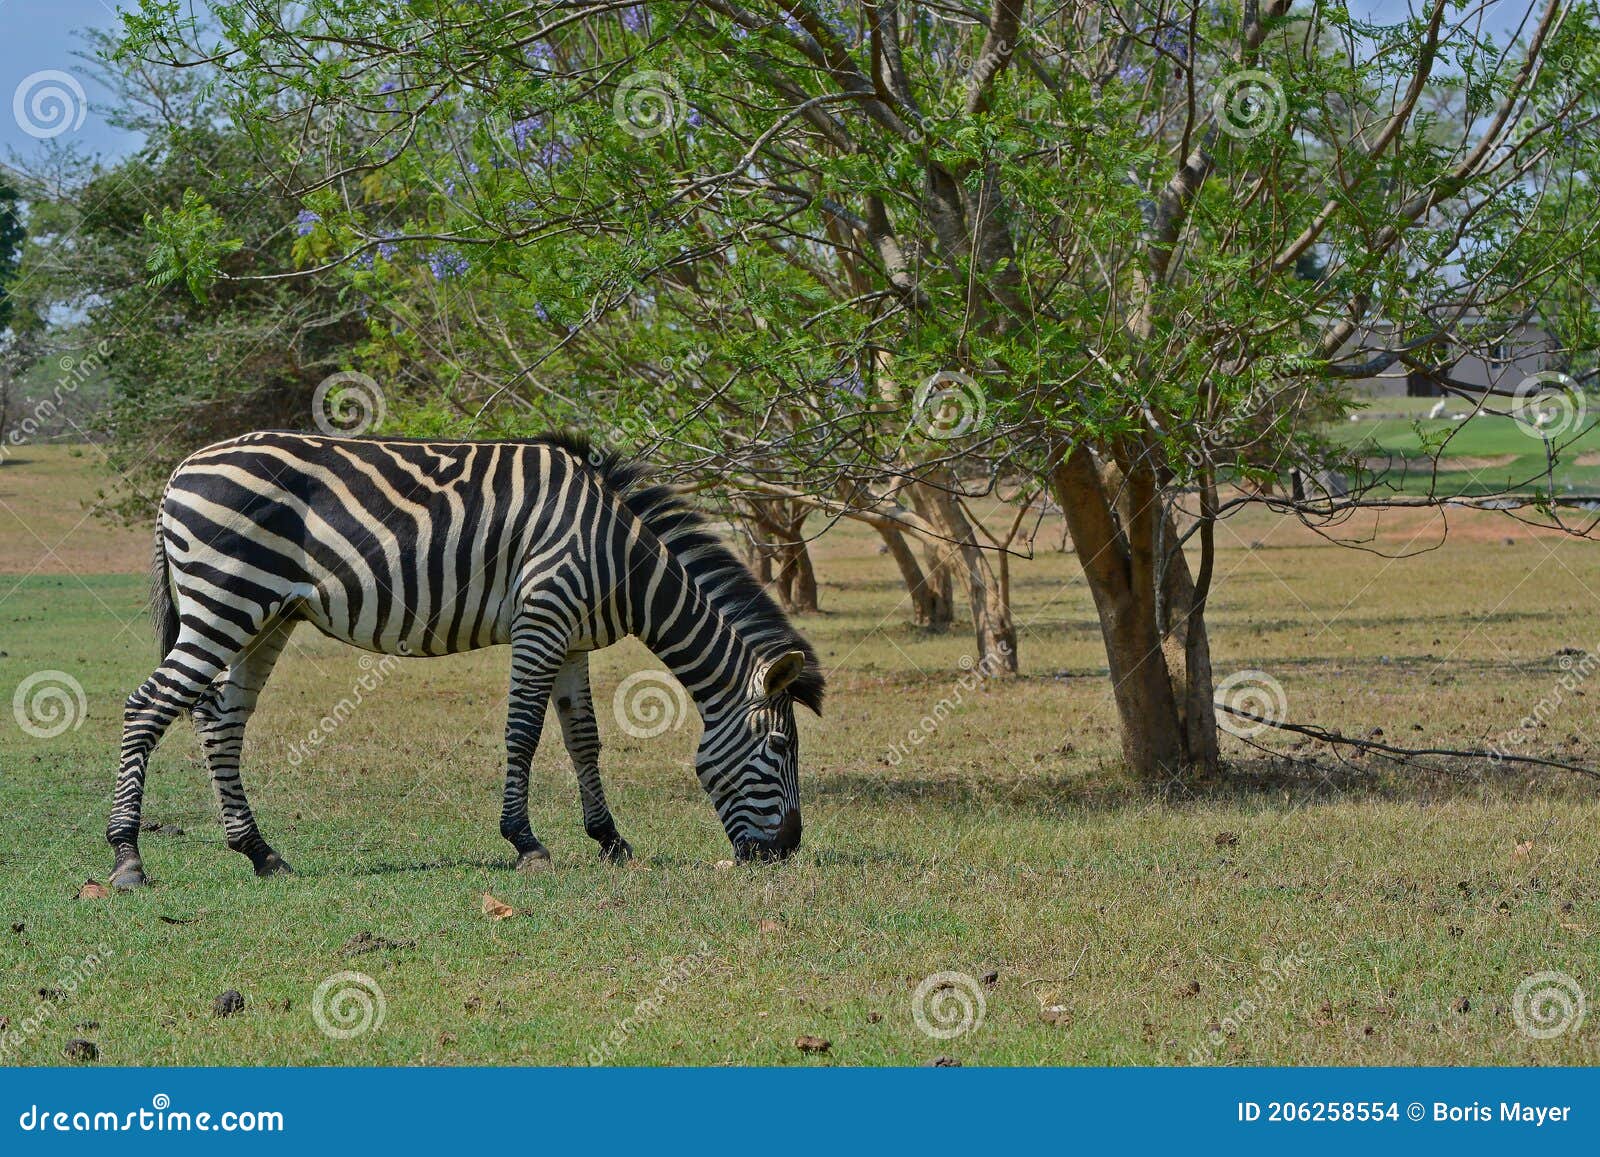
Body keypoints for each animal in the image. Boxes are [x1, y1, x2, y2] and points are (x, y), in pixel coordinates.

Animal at [109, 428, 825, 889]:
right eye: (781, 749)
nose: (786, 852)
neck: (622, 560)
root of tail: (181, 469)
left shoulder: (571, 638)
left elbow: (583, 739)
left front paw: (610, 840)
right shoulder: (544, 615)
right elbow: (524, 732)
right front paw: (526, 842)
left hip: (265, 614)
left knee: (220, 722)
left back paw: (259, 852)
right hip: (226, 600)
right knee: (147, 706)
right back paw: (126, 860)